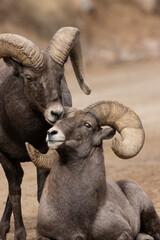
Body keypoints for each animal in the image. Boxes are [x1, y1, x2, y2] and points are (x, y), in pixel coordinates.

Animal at [0, 26, 90, 240]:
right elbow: (15, 191)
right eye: (29, 78)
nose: (56, 113)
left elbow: (41, 192)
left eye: (60, 76)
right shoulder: (4, 156)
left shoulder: (42, 154)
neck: (21, 133)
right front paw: (20, 234)